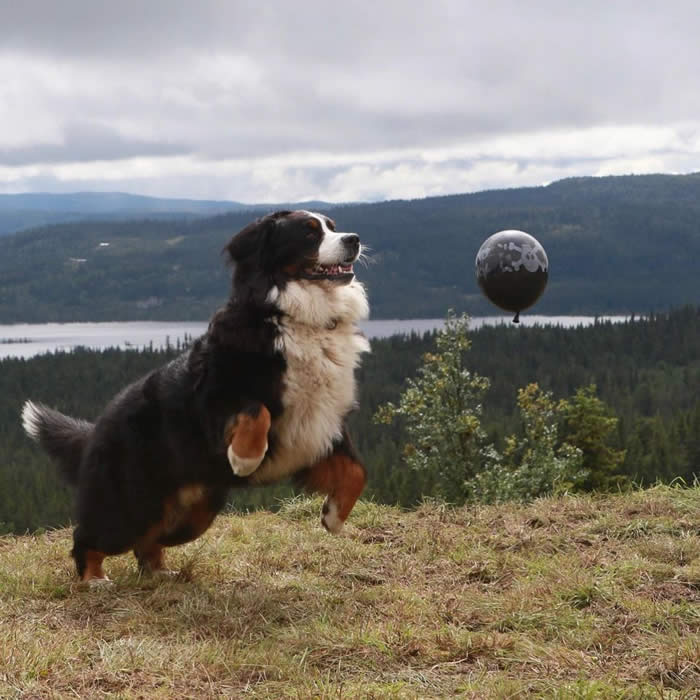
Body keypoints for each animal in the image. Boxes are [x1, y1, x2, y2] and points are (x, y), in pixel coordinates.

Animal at [20, 211, 372, 584]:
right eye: (309, 233)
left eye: (332, 226)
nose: (354, 239)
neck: (298, 319)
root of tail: (96, 426)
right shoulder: (214, 398)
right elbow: (256, 410)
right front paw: (245, 458)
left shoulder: (322, 424)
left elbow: (357, 471)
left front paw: (333, 516)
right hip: (128, 501)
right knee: (91, 535)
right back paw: (94, 578)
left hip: (191, 514)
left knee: (149, 540)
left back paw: (160, 572)